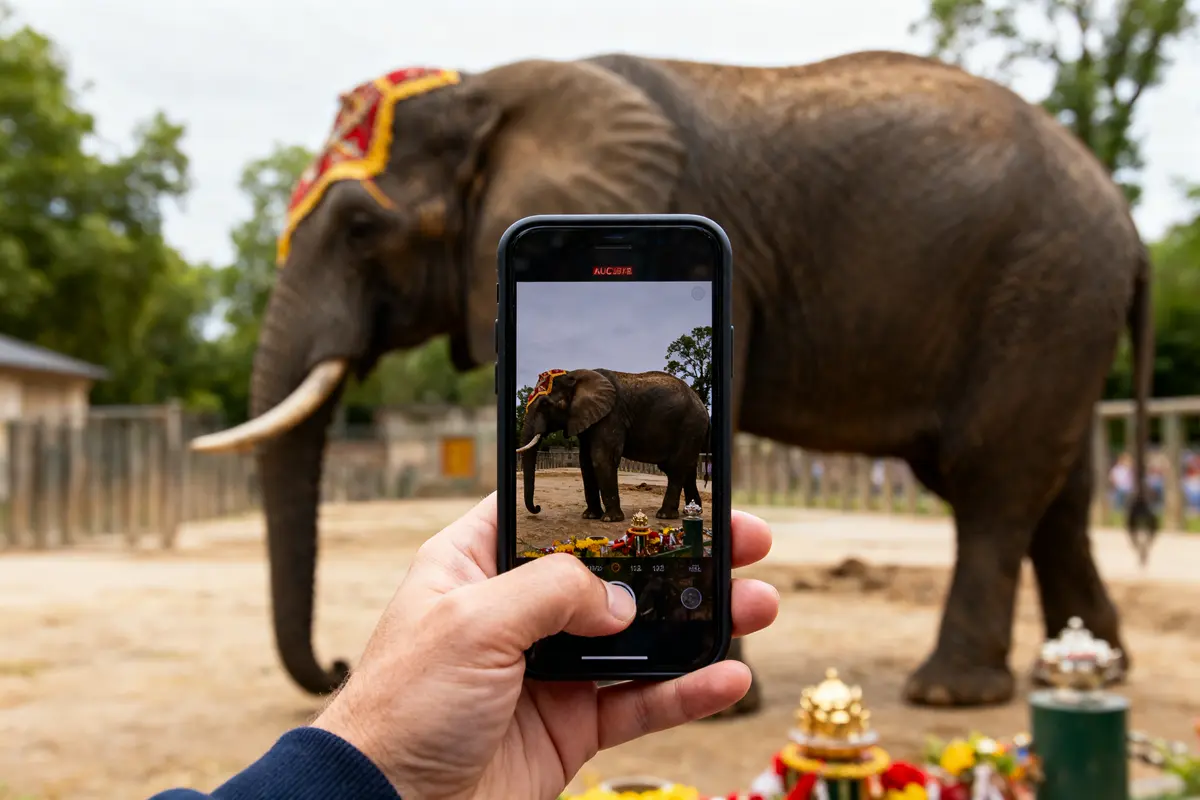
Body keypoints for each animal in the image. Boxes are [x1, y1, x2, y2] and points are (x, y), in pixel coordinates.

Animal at [515, 368, 710, 523]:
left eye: (545, 404)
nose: (538, 507)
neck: (573, 376)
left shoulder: (611, 416)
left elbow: (601, 459)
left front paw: (610, 519)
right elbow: (585, 462)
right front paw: (590, 516)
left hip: (690, 426)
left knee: (676, 467)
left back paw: (665, 515)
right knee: (685, 468)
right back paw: (692, 511)